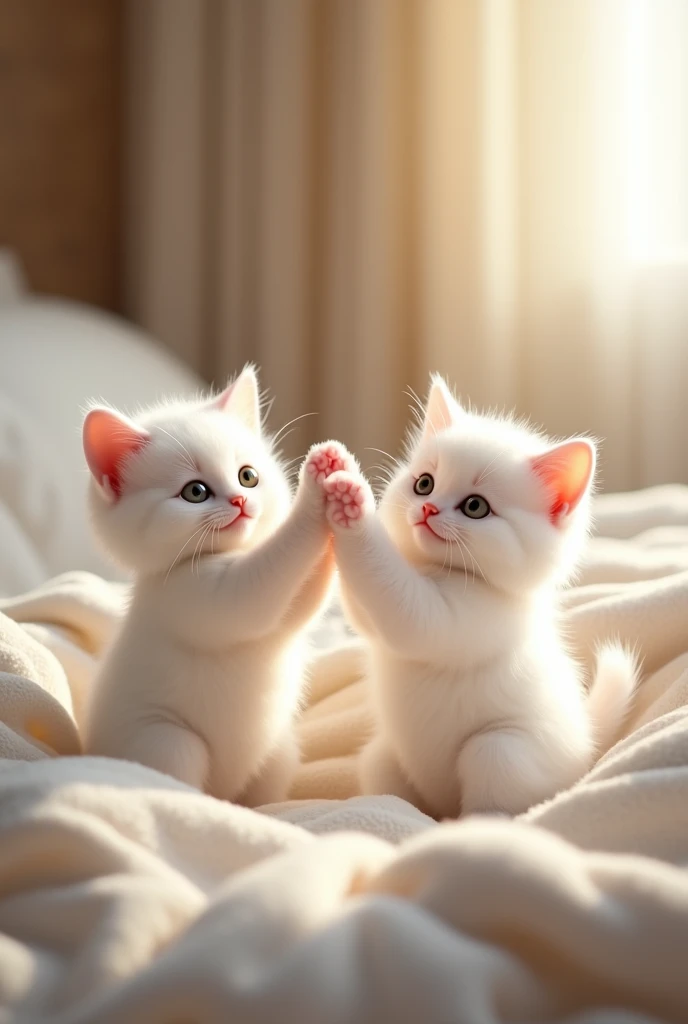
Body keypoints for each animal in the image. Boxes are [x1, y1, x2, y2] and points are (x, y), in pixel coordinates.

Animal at [82, 368, 346, 806]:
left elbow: (303, 602)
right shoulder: (190, 597)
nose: (241, 501)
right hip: (164, 740)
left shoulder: (284, 610)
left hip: (279, 750)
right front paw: (314, 493)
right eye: (195, 491)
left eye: (248, 476)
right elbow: (263, 583)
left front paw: (344, 485)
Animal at [319, 376, 638, 815]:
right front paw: (334, 465)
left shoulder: (464, 619)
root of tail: (587, 749)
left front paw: (353, 500)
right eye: (424, 484)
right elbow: (364, 611)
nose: (428, 510)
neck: (442, 571)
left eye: (475, 506)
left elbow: (399, 604)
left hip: (501, 750)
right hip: (382, 756)